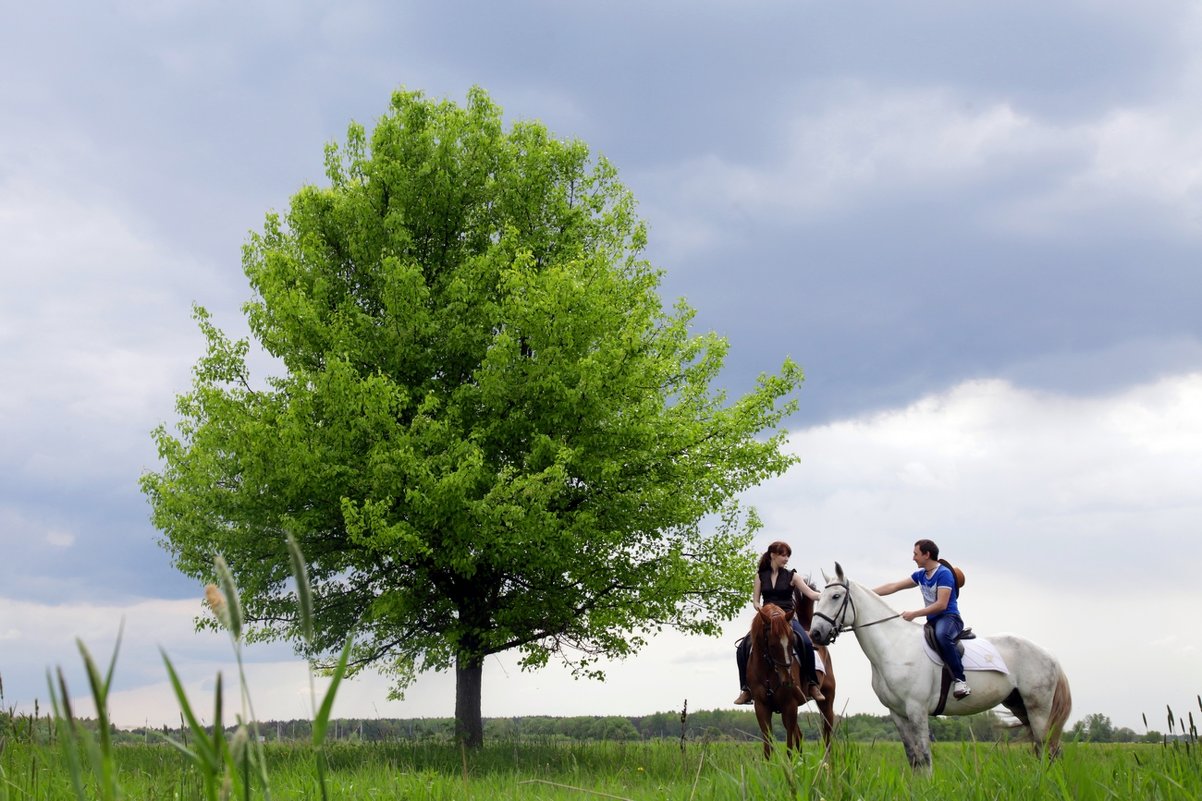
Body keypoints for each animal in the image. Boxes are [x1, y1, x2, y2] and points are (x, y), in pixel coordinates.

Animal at [807, 560, 1072, 769]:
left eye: (835, 597)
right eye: (818, 598)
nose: (815, 634)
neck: (895, 646)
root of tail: (1049, 655)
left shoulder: (917, 709)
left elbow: (924, 756)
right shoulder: (897, 713)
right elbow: (913, 757)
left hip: (1038, 709)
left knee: (1047, 748)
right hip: (1019, 705)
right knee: (1045, 749)